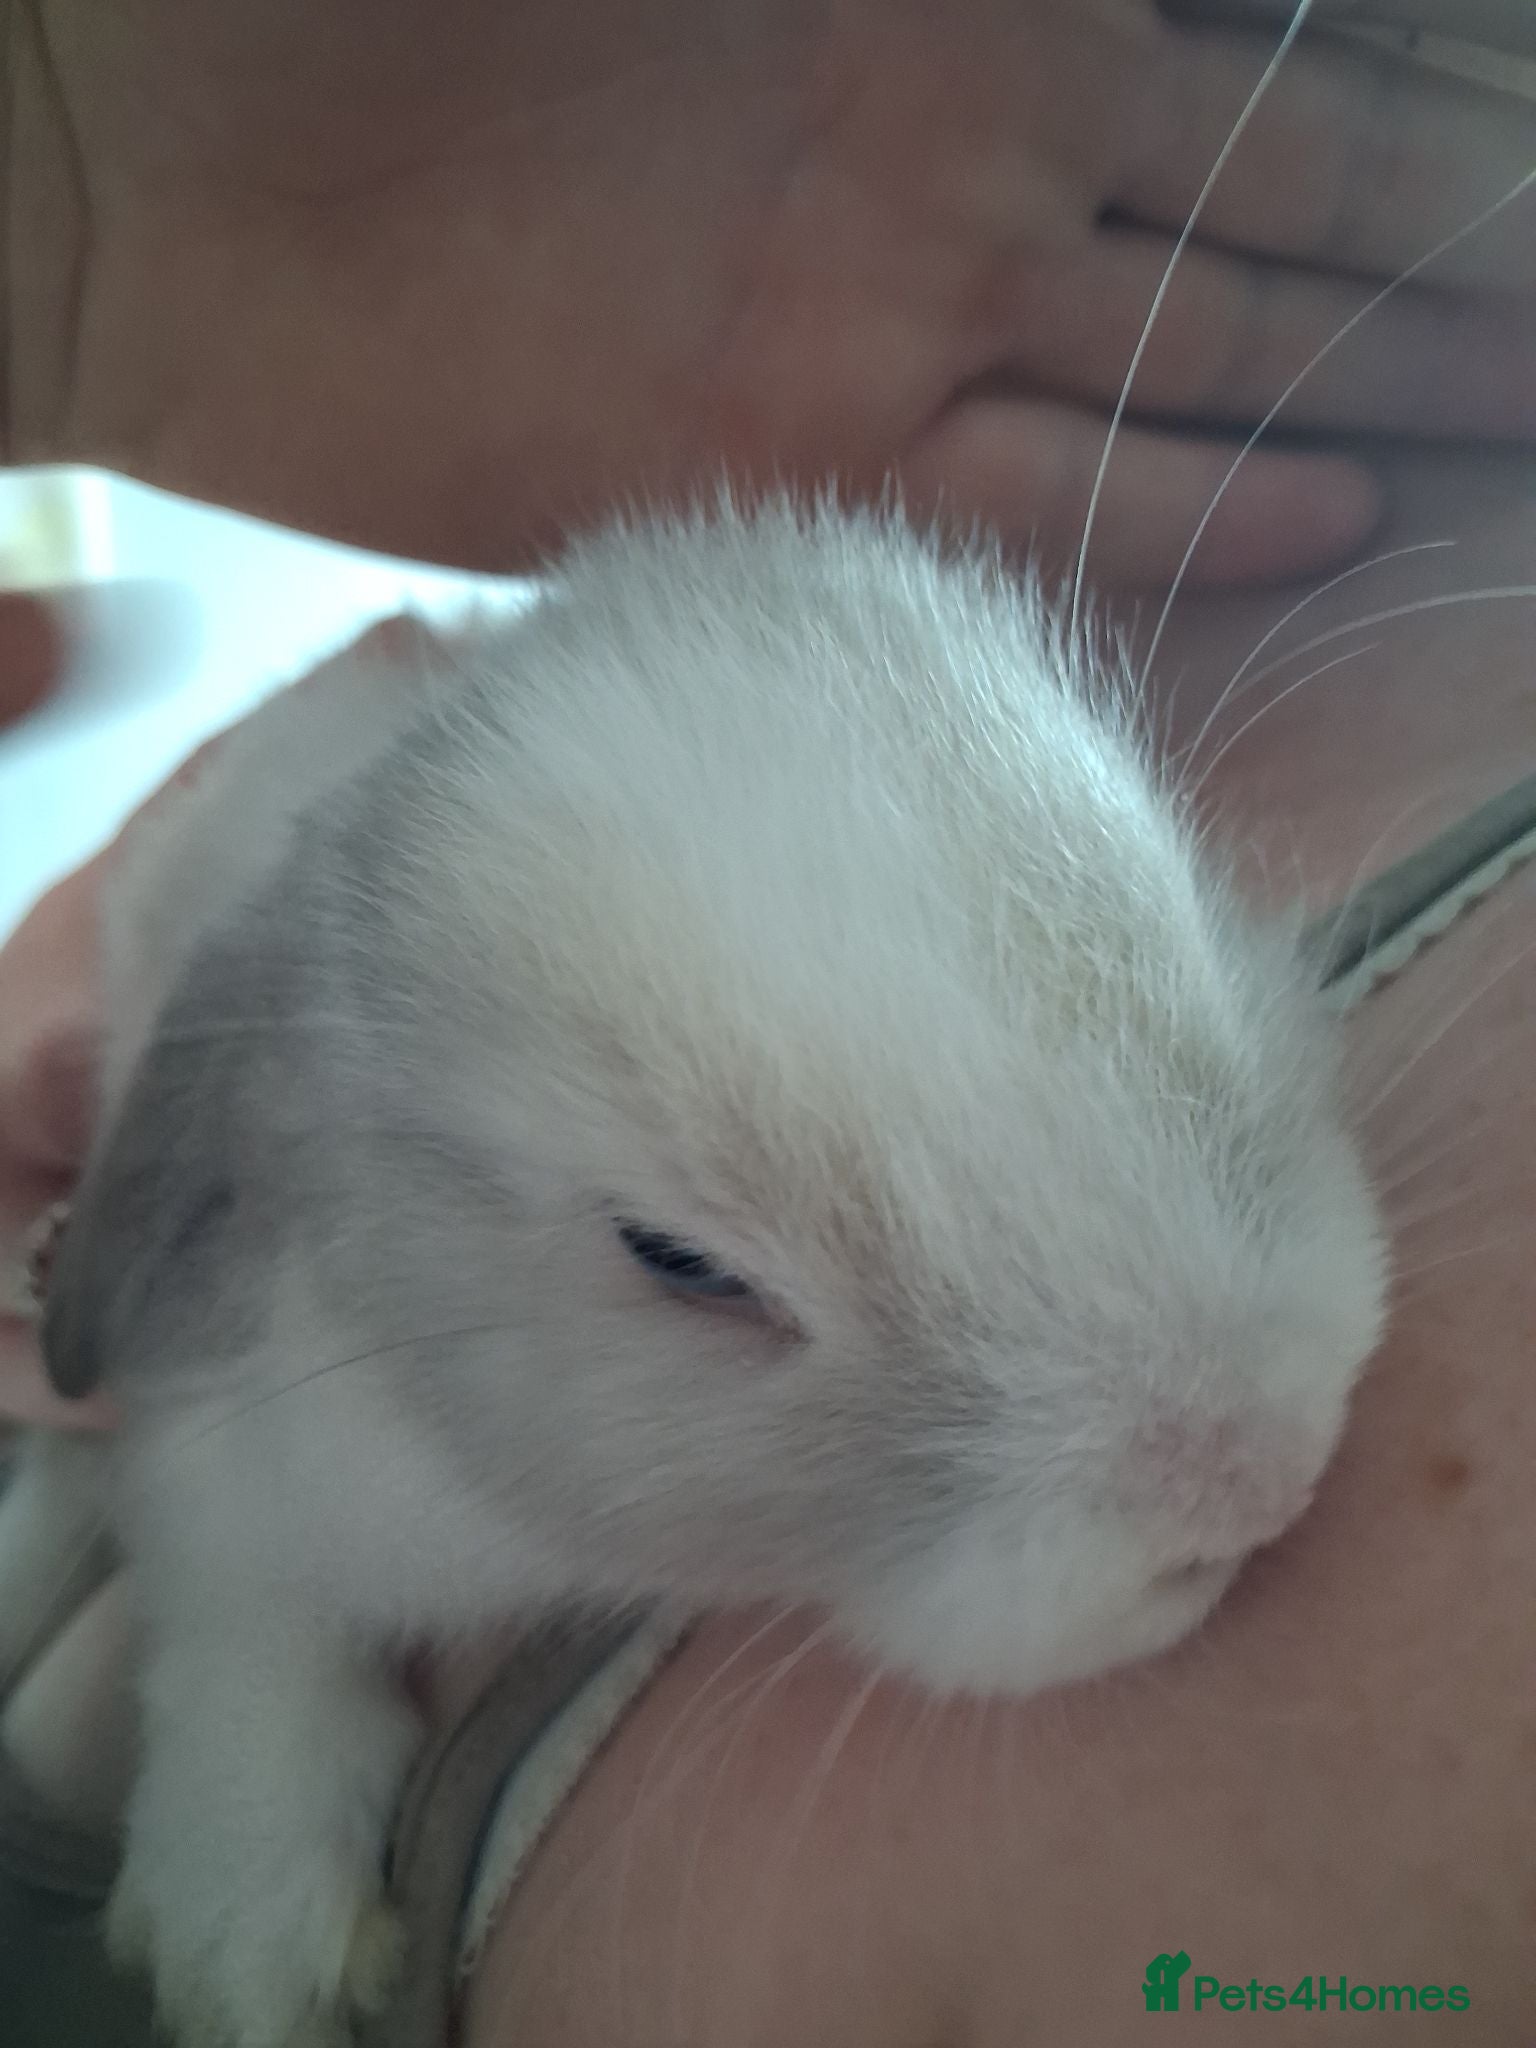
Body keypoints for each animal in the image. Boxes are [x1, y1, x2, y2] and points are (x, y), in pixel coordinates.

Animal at [16, 496, 1386, 2048]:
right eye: (679, 1261)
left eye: (1166, 914)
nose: (1257, 1472)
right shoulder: (238, 1465)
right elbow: (242, 1635)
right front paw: (251, 1944)